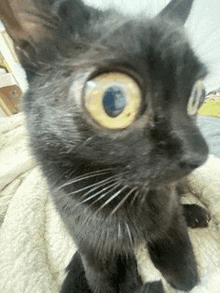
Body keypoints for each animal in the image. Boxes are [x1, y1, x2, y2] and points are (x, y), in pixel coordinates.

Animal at [0, 0, 210, 292]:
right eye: (113, 99)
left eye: (196, 95)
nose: (199, 153)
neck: (122, 202)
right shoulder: (92, 249)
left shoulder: (170, 218)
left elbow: (184, 273)